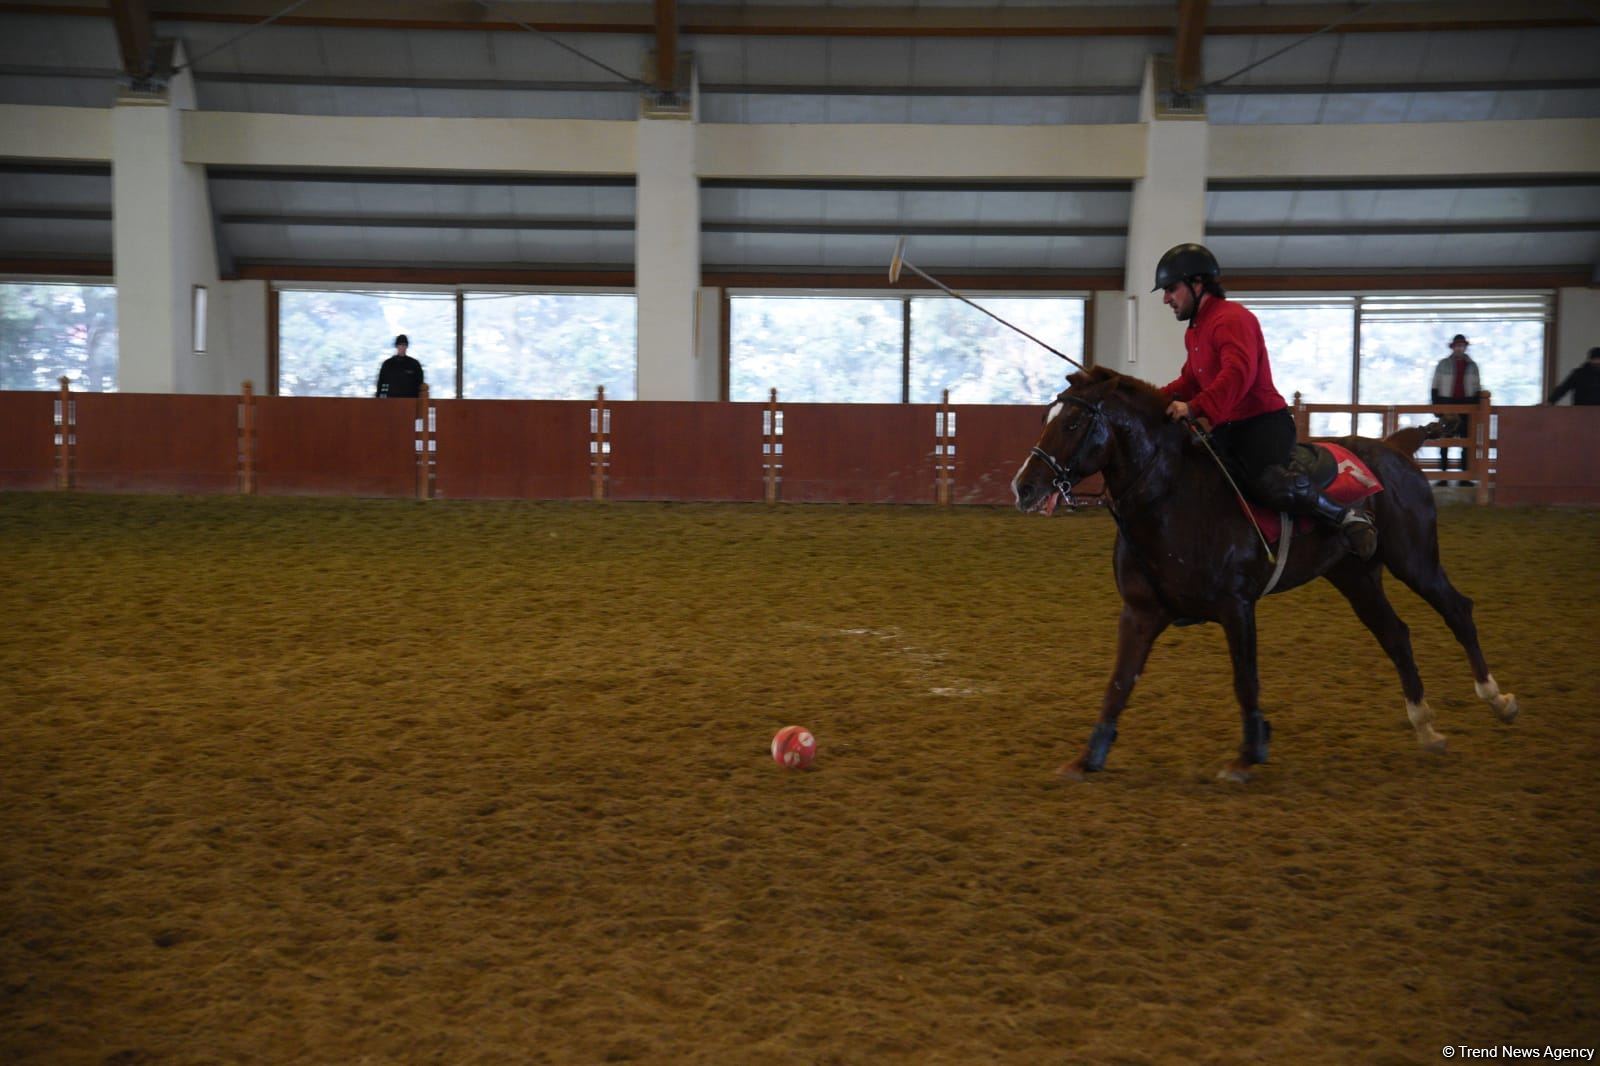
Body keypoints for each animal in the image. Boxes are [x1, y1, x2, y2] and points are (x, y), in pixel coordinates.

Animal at [1004, 368, 1516, 781]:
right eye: (1049, 418)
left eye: (1073, 423)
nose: (1024, 487)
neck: (1172, 498)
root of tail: (1393, 448)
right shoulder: (1140, 613)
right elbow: (1118, 683)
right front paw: (1087, 757)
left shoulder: (1237, 608)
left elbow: (1245, 681)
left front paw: (1248, 754)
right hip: (1354, 576)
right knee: (1395, 634)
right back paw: (1425, 727)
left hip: (1414, 560)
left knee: (1456, 610)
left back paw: (1496, 697)